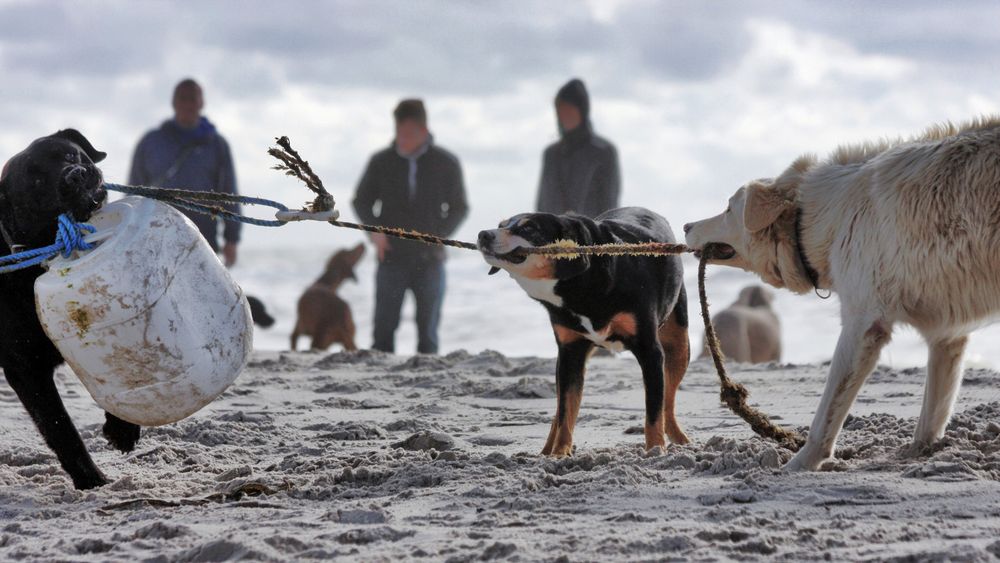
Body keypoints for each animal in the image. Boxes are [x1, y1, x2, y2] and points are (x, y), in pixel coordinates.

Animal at [0, 129, 142, 490]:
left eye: (70, 155)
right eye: (36, 181)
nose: (75, 175)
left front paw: (122, 428)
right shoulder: (26, 367)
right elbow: (61, 428)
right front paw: (91, 479)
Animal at [476, 208, 688, 458]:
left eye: (529, 228)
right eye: (501, 225)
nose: (483, 234)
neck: (581, 286)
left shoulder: (650, 351)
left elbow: (654, 411)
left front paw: (655, 450)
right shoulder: (570, 352)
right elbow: (566, 412)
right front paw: (559, 453)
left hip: (678, 345)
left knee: (668, 402)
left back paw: (678, 438)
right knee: (560, 408)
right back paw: (547, 449)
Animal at [688, 115, 1000, 472]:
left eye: (728, 209)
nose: (685, 226)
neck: (813, 218)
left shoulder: (862, 323)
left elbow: (825, 415)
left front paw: (798, 465)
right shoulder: (947, 336)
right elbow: (931, 414)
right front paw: (917, 454)